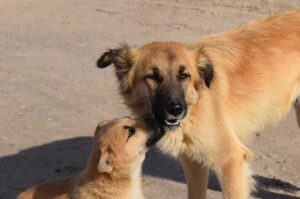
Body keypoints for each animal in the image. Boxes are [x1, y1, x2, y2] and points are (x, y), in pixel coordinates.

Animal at [96, 8, 300, 199]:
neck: (196, 103)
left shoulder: (231, 161)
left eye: (184, 75)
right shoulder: (194, 161)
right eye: (152, 77)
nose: (176, 110)